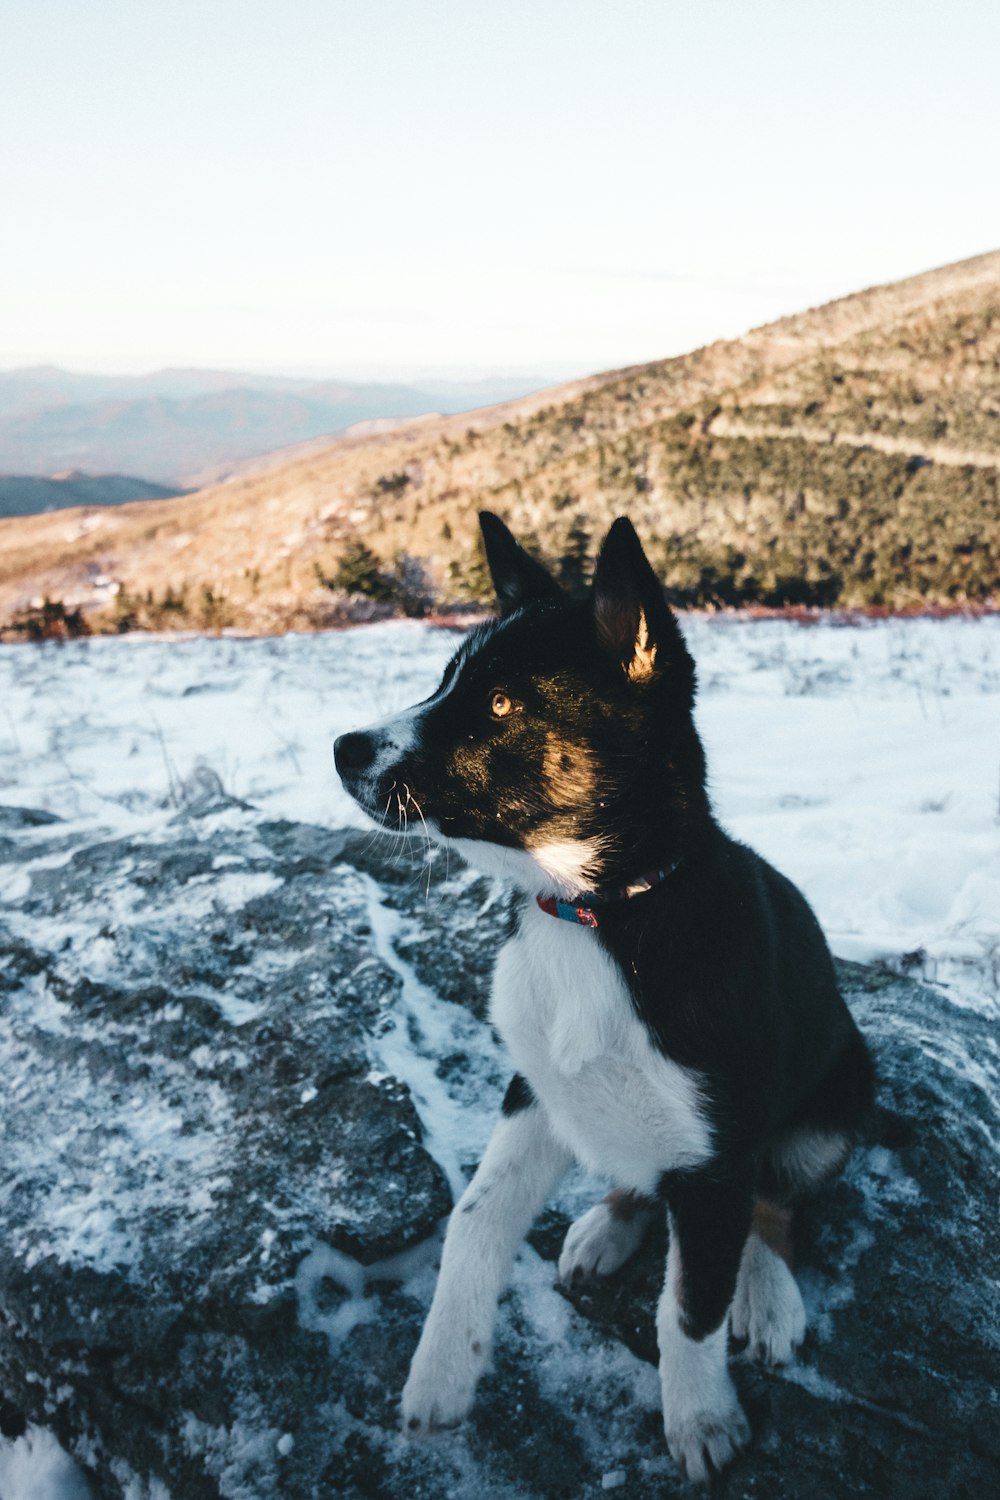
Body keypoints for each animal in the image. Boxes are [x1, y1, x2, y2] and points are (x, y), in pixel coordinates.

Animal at [332, 519, 869, 1488]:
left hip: (833, 1103)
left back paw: (767, 1293)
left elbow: (689, 1306)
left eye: (501, 705)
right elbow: (474, 1220)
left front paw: (701, 1418)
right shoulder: (533, 1088)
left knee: (777, 1206)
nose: (344, 748)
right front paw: (441, 1373)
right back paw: (608, 1227)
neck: (596, 914)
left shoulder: (716, 1157)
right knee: (635, 1174)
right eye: (446, 678)